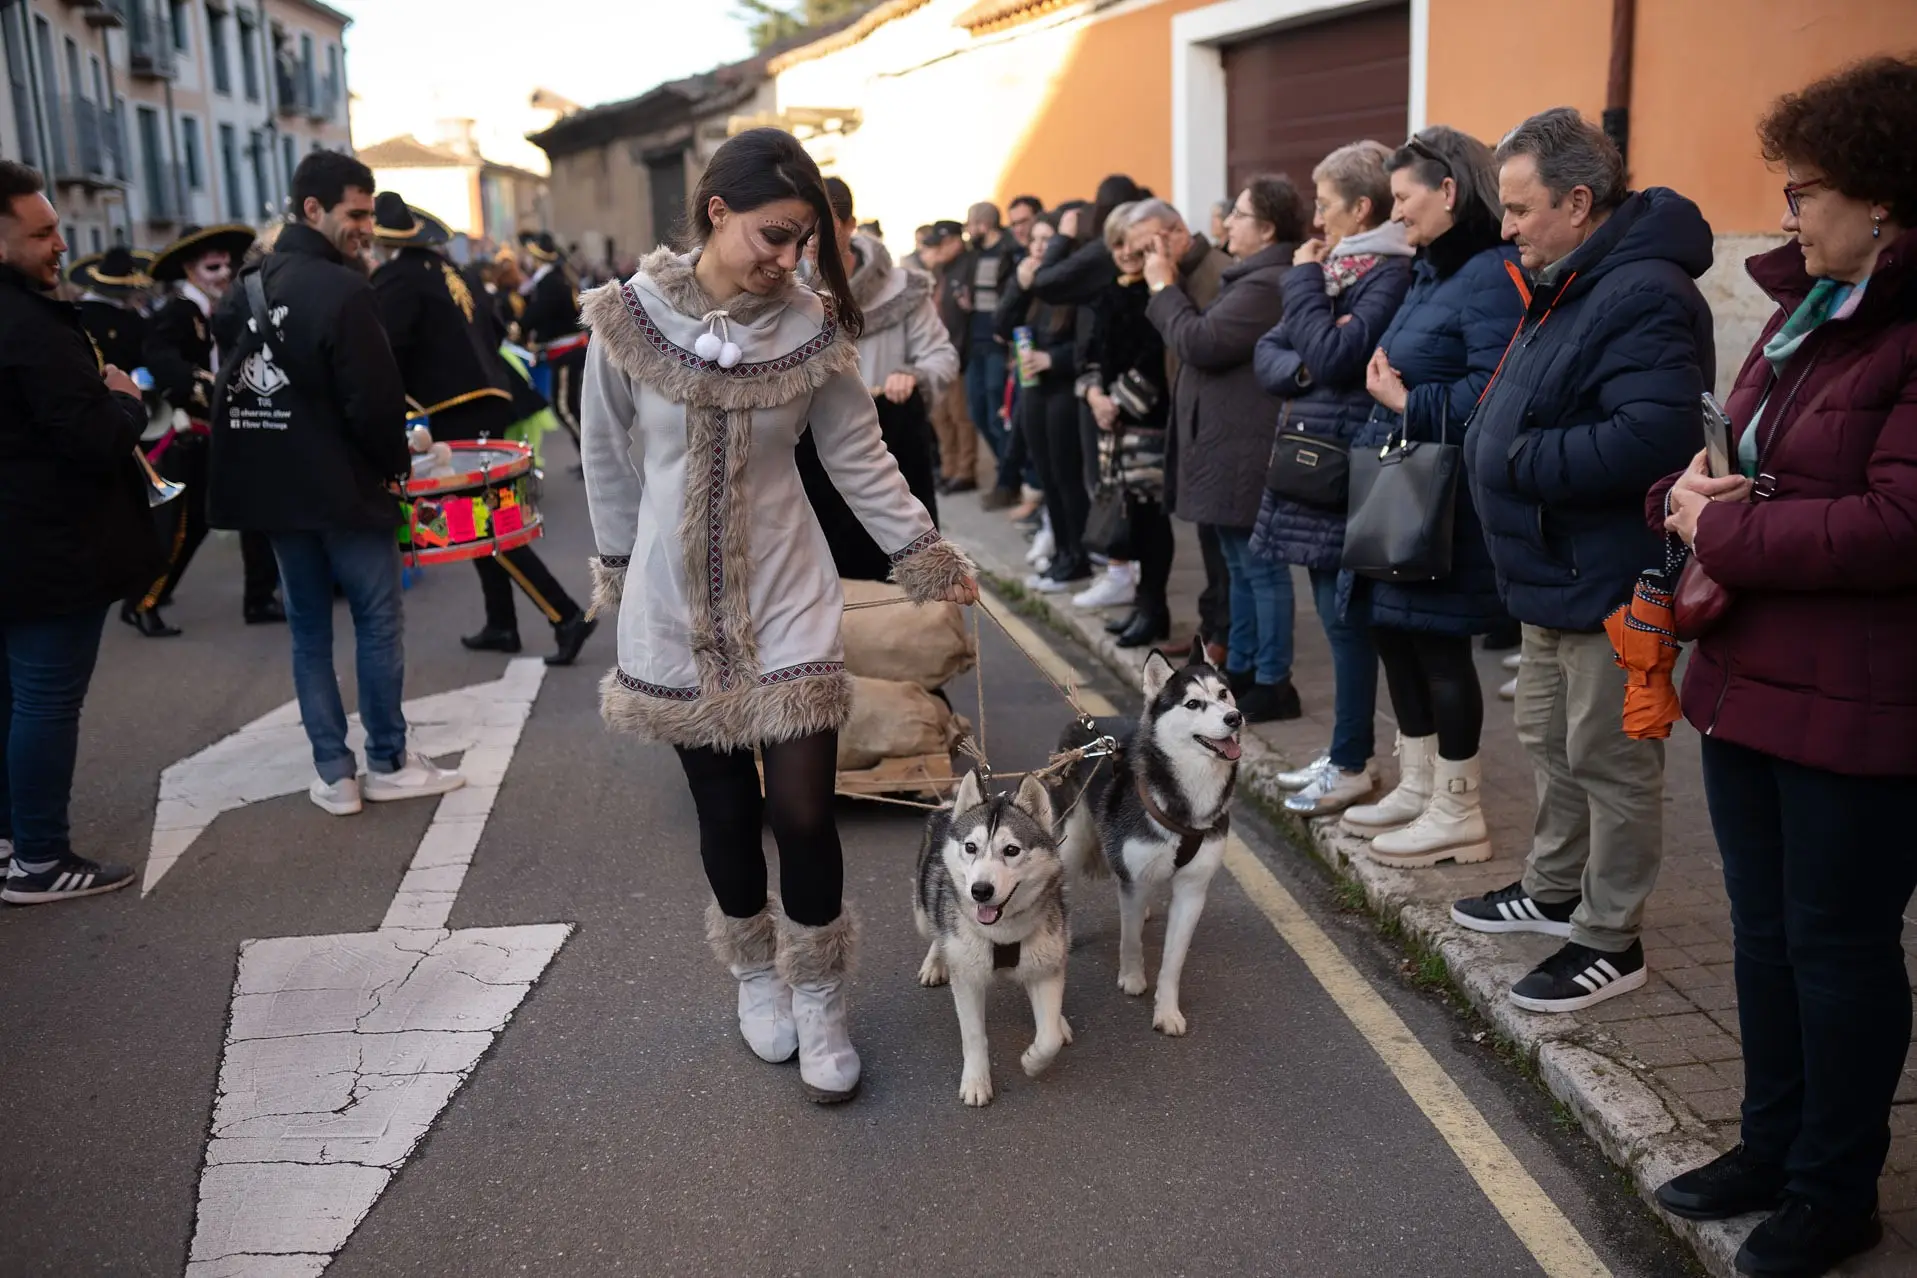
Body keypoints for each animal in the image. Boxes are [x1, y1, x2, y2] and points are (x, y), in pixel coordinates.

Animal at [916, 770, 1073, 1111]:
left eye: (1011, 850)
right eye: (971, 847)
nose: (980, 891)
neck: (1003, 933)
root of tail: (948, 810)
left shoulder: (1046, 967)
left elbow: (1049, 1038)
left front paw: (1033, 1061)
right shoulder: (967, 978)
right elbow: (974, 1035)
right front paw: (977, 1081)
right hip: (921, 912)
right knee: (935, 927)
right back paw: (935, 962)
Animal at [1050, 643, 1242, 1034]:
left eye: (1223, 694)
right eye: (1192, 704)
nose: (1235, 717)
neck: (1189, 794)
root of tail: (1084, 723)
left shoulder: (1192, 891)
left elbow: (1173, 962)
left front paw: (1167, 1011)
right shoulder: (1134, 881)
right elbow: (1130, 938)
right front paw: (1132, 977)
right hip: (1073, 839)